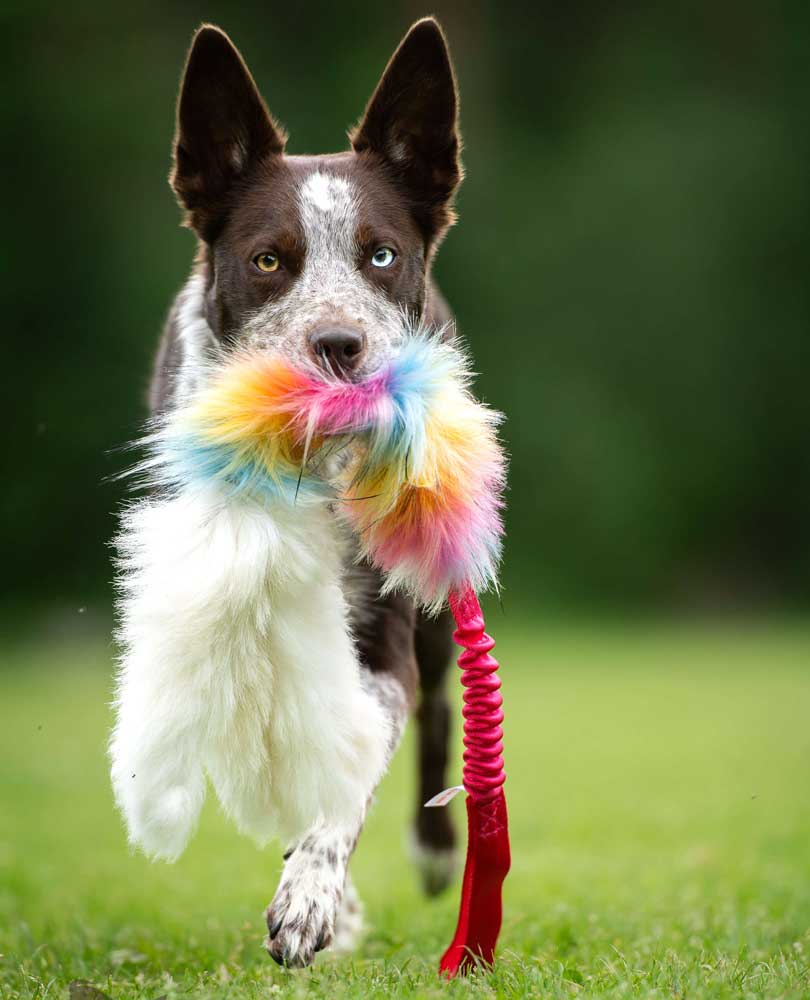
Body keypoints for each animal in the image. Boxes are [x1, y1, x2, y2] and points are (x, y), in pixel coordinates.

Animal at [109, 19, 460, 964]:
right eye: (269, 260)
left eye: (381, 255)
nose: (338, 344)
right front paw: (319, 903)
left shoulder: (384, 635)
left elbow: (356, 764)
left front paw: (308, 903)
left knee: (438, 709)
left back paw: (434, 855)